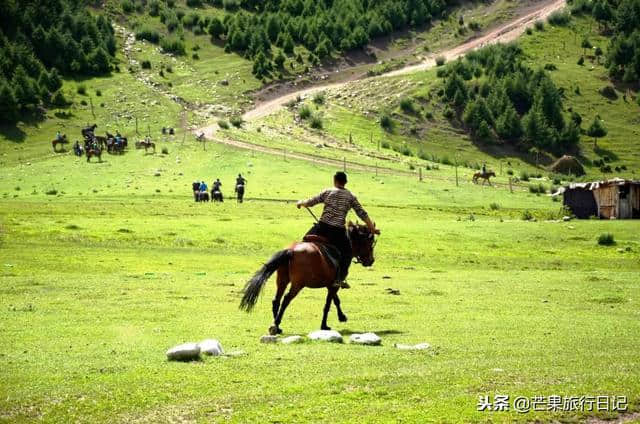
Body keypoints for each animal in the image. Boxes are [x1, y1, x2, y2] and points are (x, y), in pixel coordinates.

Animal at [240, 222, 380, 334]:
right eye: (369, 242)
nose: (371, 260)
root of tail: (291, 251)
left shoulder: (330, 284)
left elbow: (335, 300)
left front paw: (341, 317)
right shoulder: (334, 284)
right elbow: (329, 303)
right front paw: (325, 325)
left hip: (282, 280)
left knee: (276, 300)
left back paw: (277, 326)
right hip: (297, 285)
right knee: (286, 299)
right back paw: (276, 325)